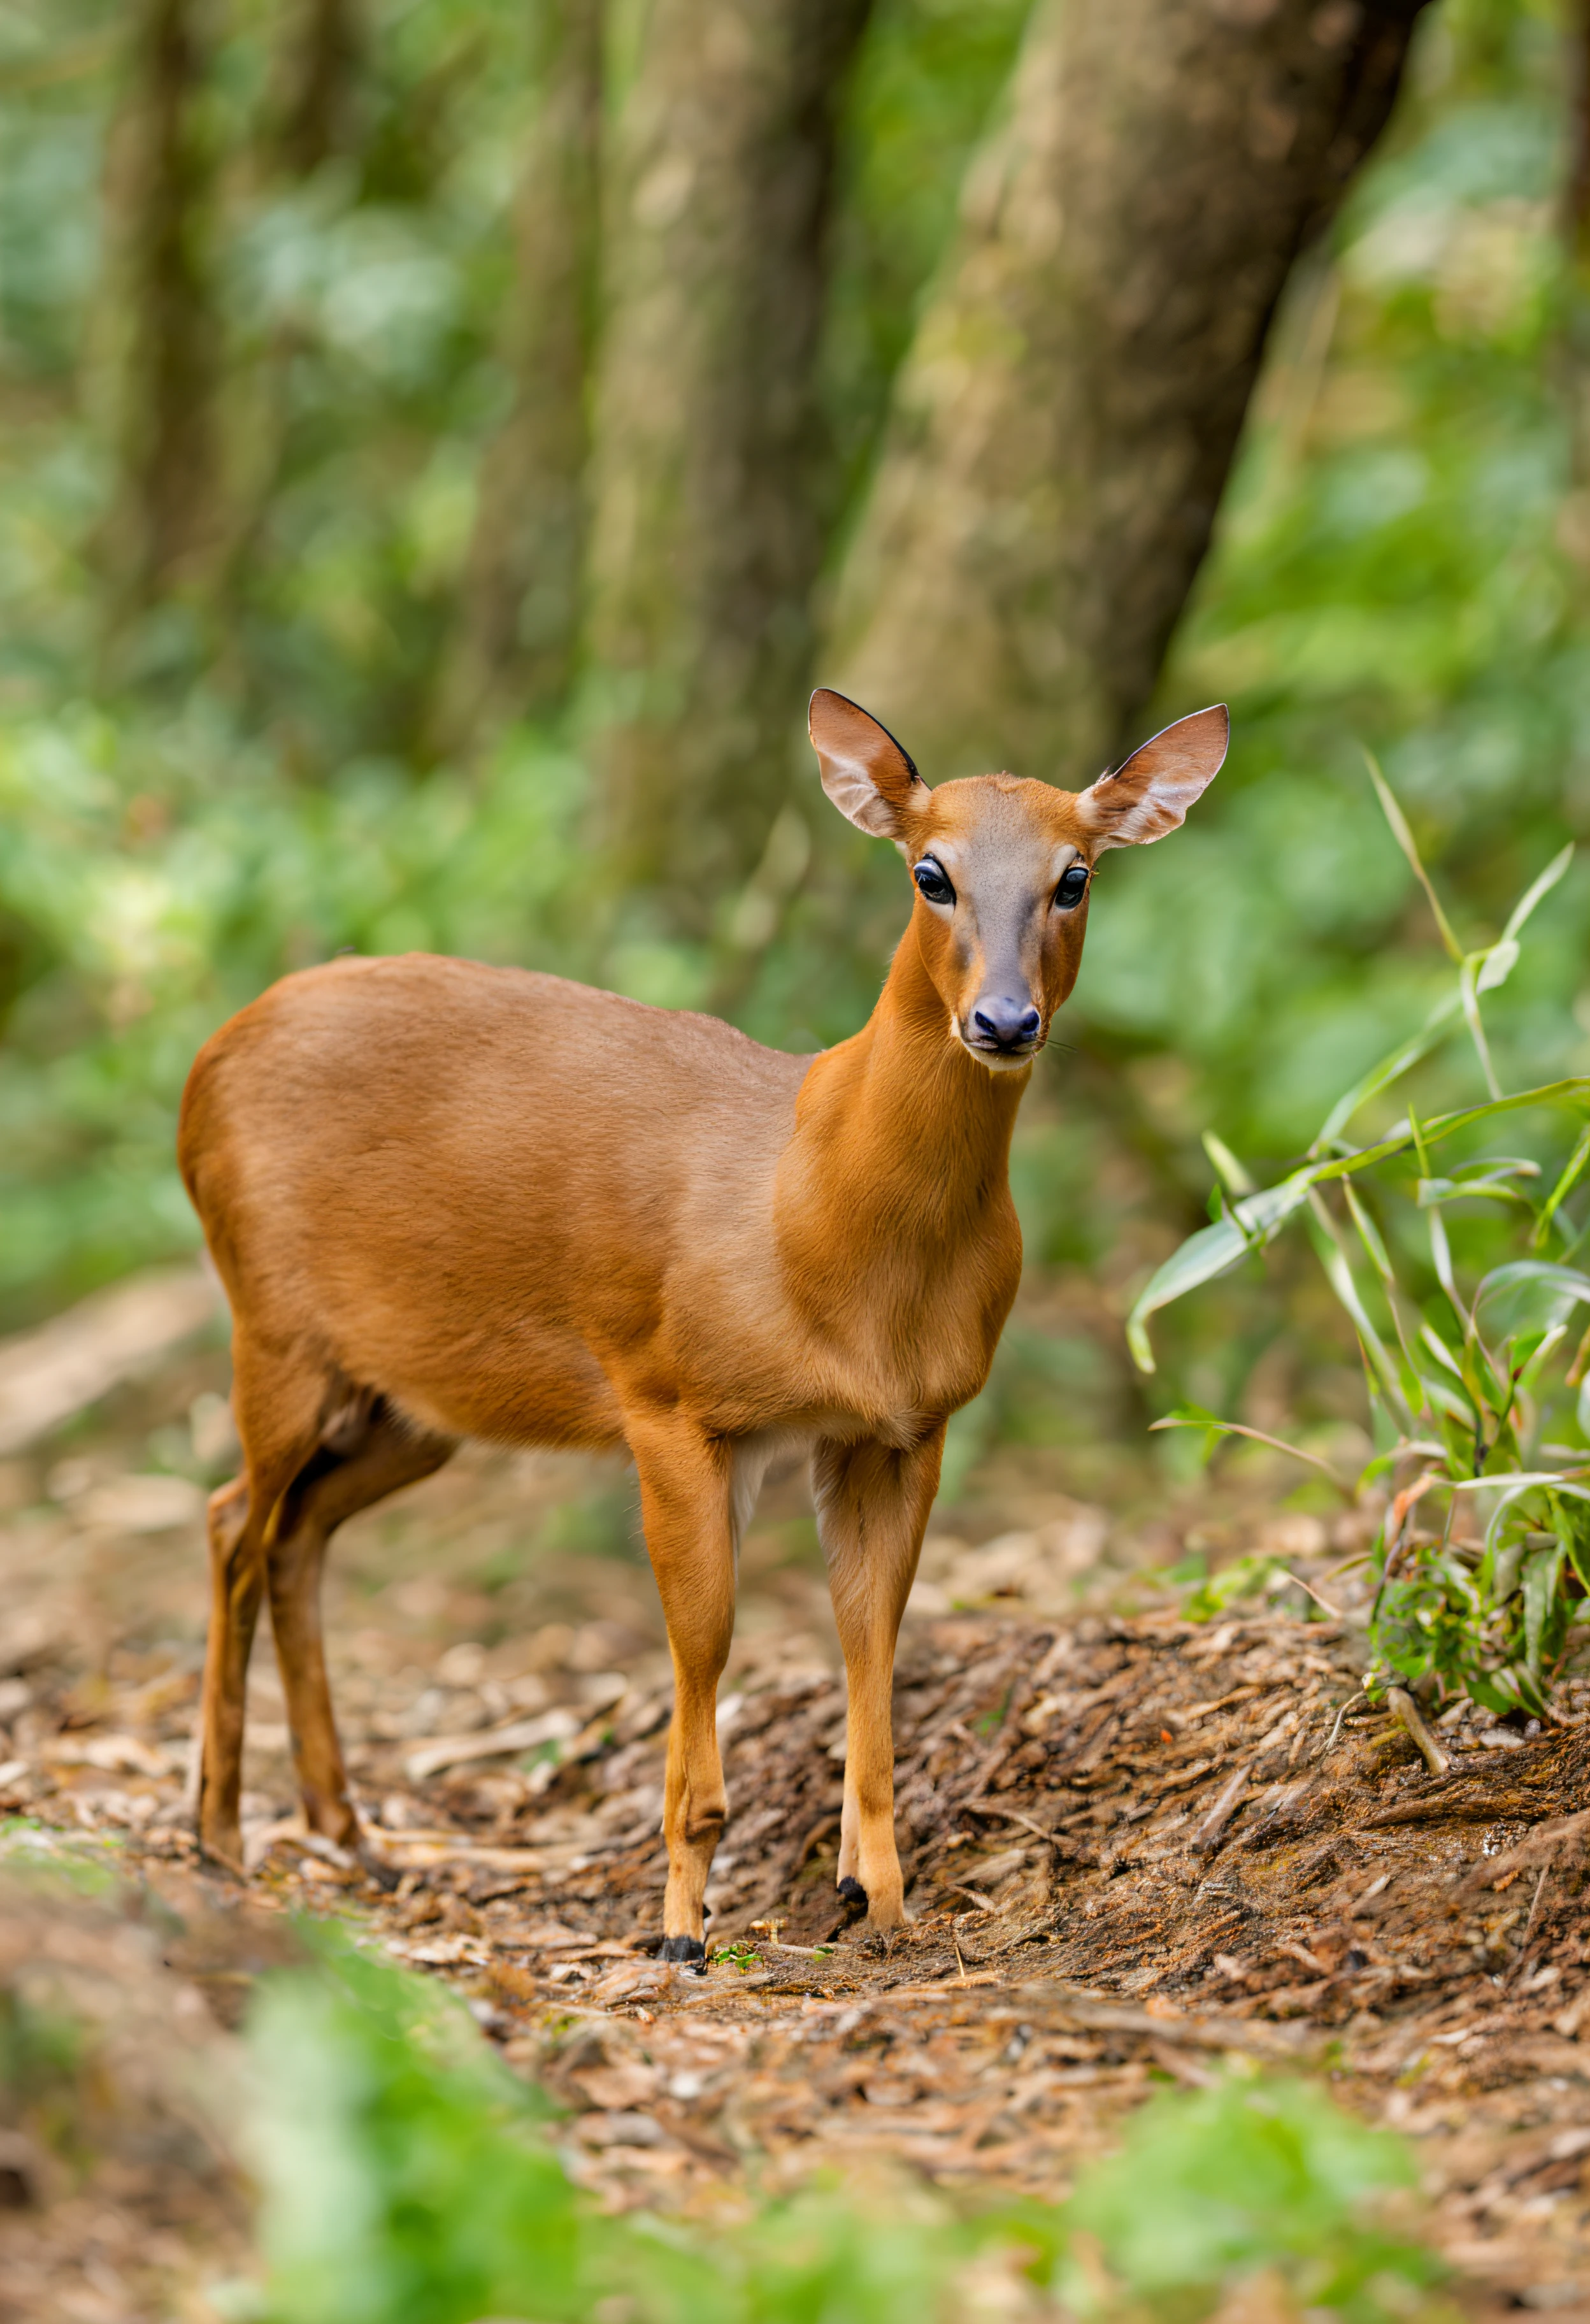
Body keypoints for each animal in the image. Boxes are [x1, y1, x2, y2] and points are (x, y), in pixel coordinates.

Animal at [183, 692, 1227, 1961]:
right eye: (928, 872)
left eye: (1075, 877)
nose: (1003, 1019)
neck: (820, 1222)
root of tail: (202, 1066)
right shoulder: (668, 1392)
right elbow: (707, 1639)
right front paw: (682, 1924)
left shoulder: (901, 1427)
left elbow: (871, 1637)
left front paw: (877, 1898)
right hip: (272, 1320)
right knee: (233, 1520)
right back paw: (217, 1838)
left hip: (411, 1397)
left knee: (296, 1532)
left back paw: (350, 1834)